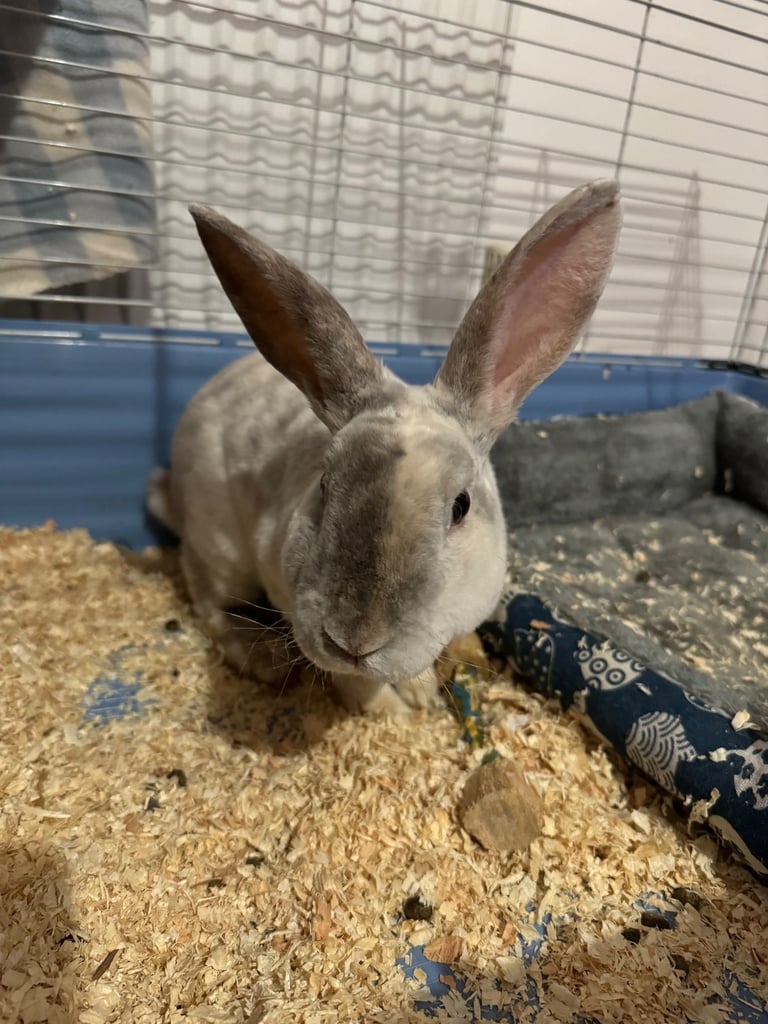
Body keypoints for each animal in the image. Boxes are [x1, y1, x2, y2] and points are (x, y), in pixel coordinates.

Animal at [147, 180, 621, 714]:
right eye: (325, 486)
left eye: (461, 506)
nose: (354, 641)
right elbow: (355, 685)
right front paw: (391, 714)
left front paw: (420, 696)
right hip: (219, 545)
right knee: (208, 601)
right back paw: (261, 657)